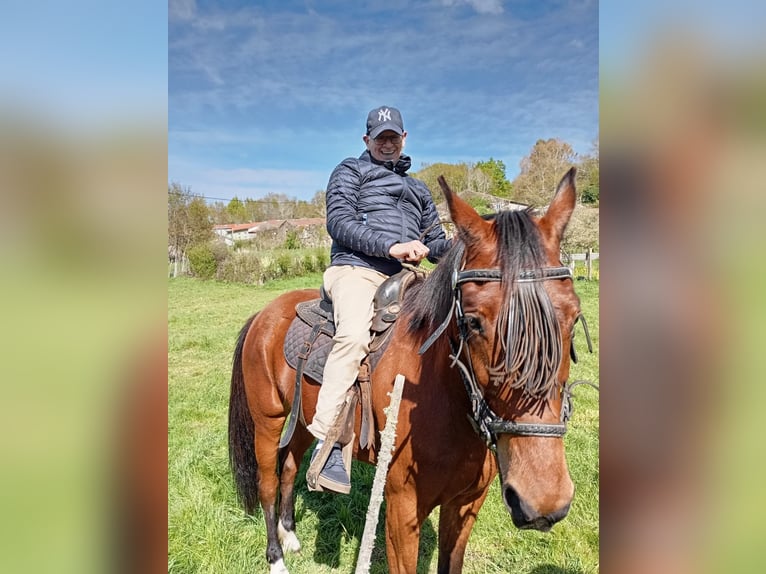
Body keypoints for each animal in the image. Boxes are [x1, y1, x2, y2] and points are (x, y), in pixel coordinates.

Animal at [229, 168, 587, 573]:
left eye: (573, 318)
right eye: (473, 322)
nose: (541, 500)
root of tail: (263, 315)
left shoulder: (466, 505)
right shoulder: (402, 510)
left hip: (303, 420)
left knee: (289, 468)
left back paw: (290, 534)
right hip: (267, 422)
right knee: (267, 483)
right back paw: (275, 557)